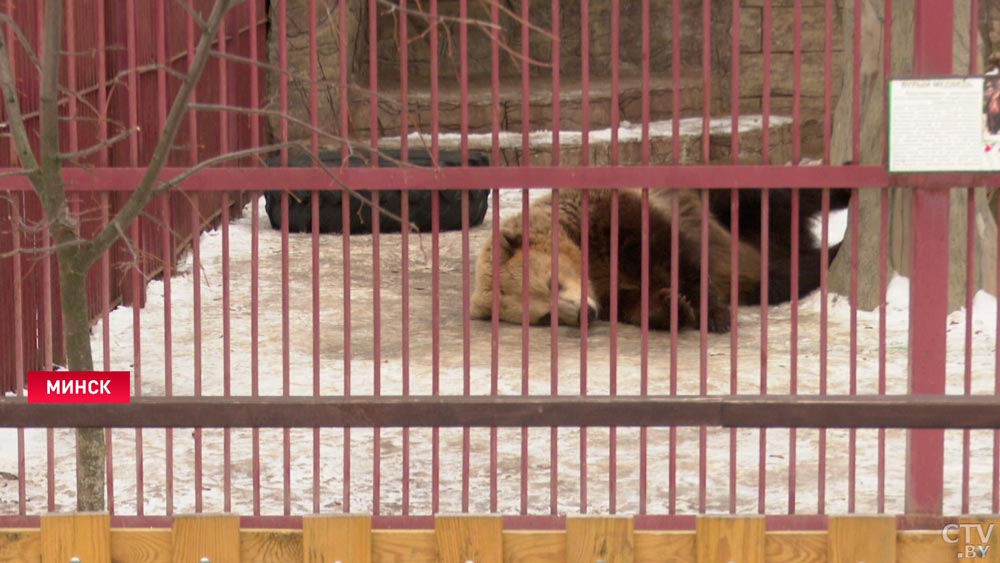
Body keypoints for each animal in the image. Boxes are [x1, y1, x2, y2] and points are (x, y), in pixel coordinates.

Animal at [472, 187, 848, 332]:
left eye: (554, 283)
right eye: (544, 316)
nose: (584, 314)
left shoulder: (607, 216)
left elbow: (666, 249)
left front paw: (714, 314)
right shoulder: (608, 289)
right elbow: (635, 301)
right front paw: (673, 306)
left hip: (720, 202)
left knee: (774, 195)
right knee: (785, 274)